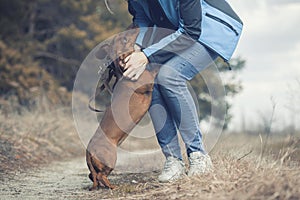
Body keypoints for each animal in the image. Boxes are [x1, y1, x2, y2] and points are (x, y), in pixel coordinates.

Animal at [85, 24, 158, 190]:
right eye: (124, 39)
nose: (134, 25)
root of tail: (89, 152)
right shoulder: (149, 78)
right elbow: (155, 67)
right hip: (111, 158)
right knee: (101, 175)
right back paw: (112, 187)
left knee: (93, 176)